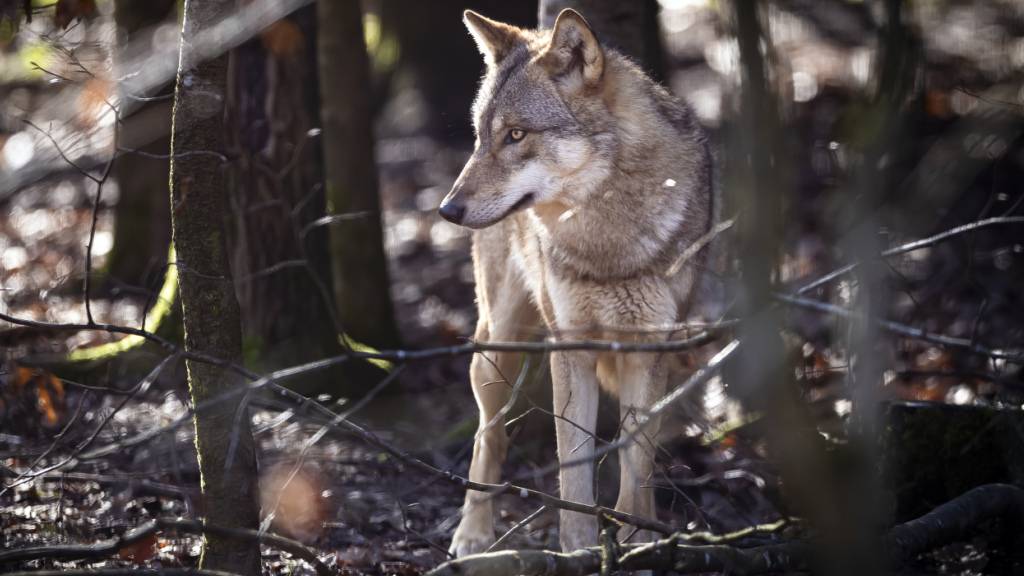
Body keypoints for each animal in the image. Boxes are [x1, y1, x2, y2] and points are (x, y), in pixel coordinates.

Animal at [439, 8, 714, 556]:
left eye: (516, 135)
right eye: (480, 136)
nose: (447, 210)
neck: (606, 240)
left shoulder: (647, 347)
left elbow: (637, 459)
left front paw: (636, 535)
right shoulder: (570, 347)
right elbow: (573, 462)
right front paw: (580, 546)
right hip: (496, 346)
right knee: (488, 434)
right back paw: (472, 534)